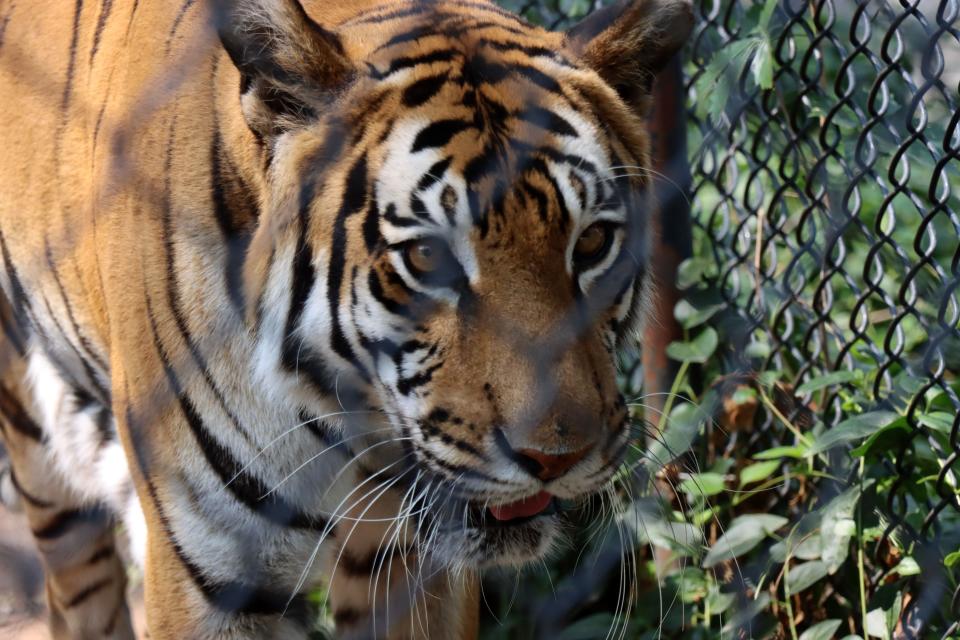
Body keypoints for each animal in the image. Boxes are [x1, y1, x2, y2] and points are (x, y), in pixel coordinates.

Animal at [0, 0, 688, 636]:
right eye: (428, 256)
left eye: (592, 243)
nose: (554, 462)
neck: (340, 413)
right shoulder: (210, 571)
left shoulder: (412, 570)